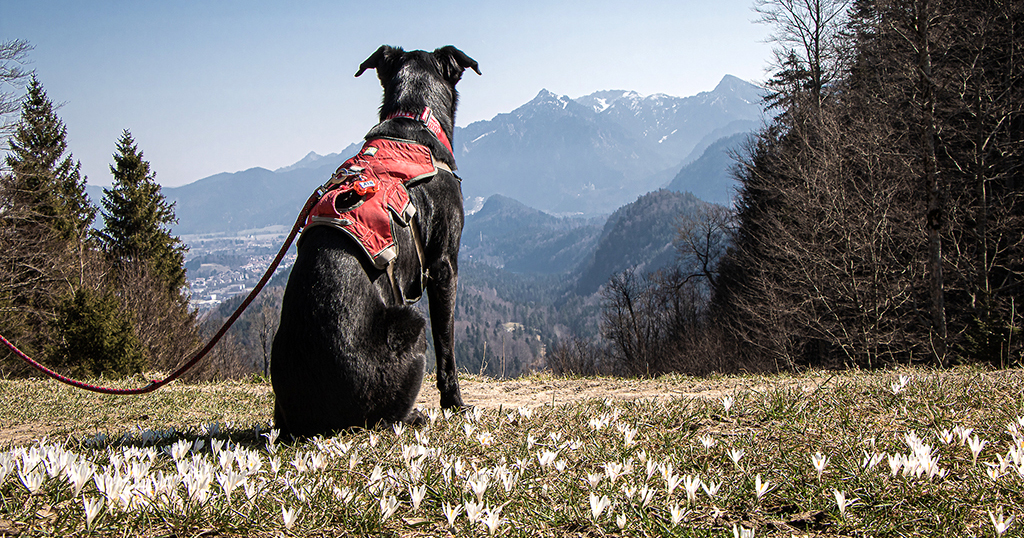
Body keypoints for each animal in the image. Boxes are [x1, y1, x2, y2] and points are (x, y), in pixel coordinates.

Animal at [270, 44, 481, 434]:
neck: (415, 115)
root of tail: (312, 420)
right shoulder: (444, 266)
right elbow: (447, 348)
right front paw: (455, 404)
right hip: (411, 326)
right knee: (384, 417)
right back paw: (414, 416)